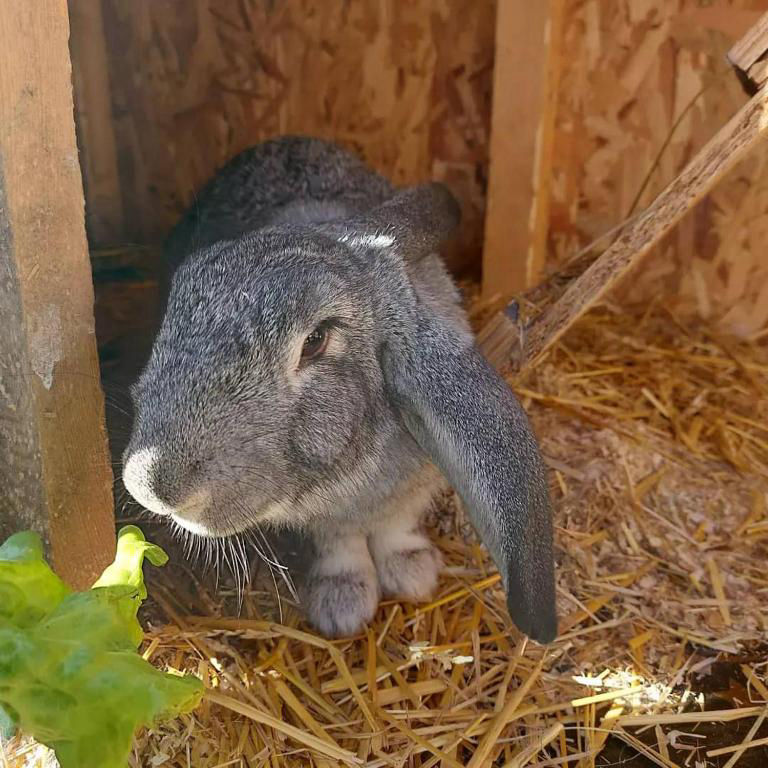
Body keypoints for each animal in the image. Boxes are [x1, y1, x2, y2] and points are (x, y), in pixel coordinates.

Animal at [122, 136, 557, 643]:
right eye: (181, 296)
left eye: (315, 341)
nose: (151, 487)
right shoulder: (325, 519)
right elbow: (340, 545)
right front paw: (342, 602)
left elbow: (397, 524)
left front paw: (412, 572)